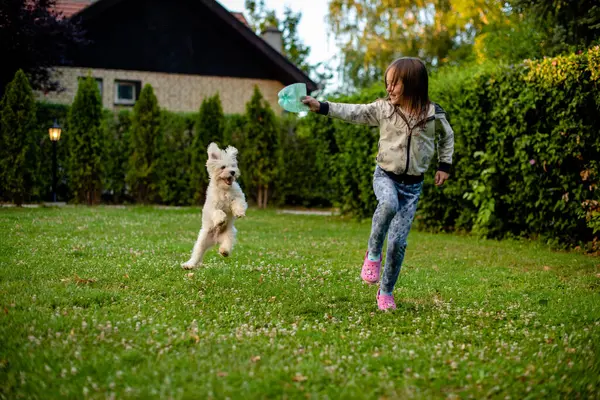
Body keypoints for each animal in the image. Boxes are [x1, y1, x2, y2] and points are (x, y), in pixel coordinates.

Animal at [183, 142, 248, 270]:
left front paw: (239, 212)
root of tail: (215, 240)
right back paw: (189, 265)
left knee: (227, 245)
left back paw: (224, 251)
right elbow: (218, 212)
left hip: (229, 234)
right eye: (223, 167)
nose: (232, 172)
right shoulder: (212, 207)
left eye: (233, 166)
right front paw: (221, 220)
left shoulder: (238, 196)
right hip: (202, 240)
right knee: (197, 253)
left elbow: (238, 202)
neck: (224, 189)